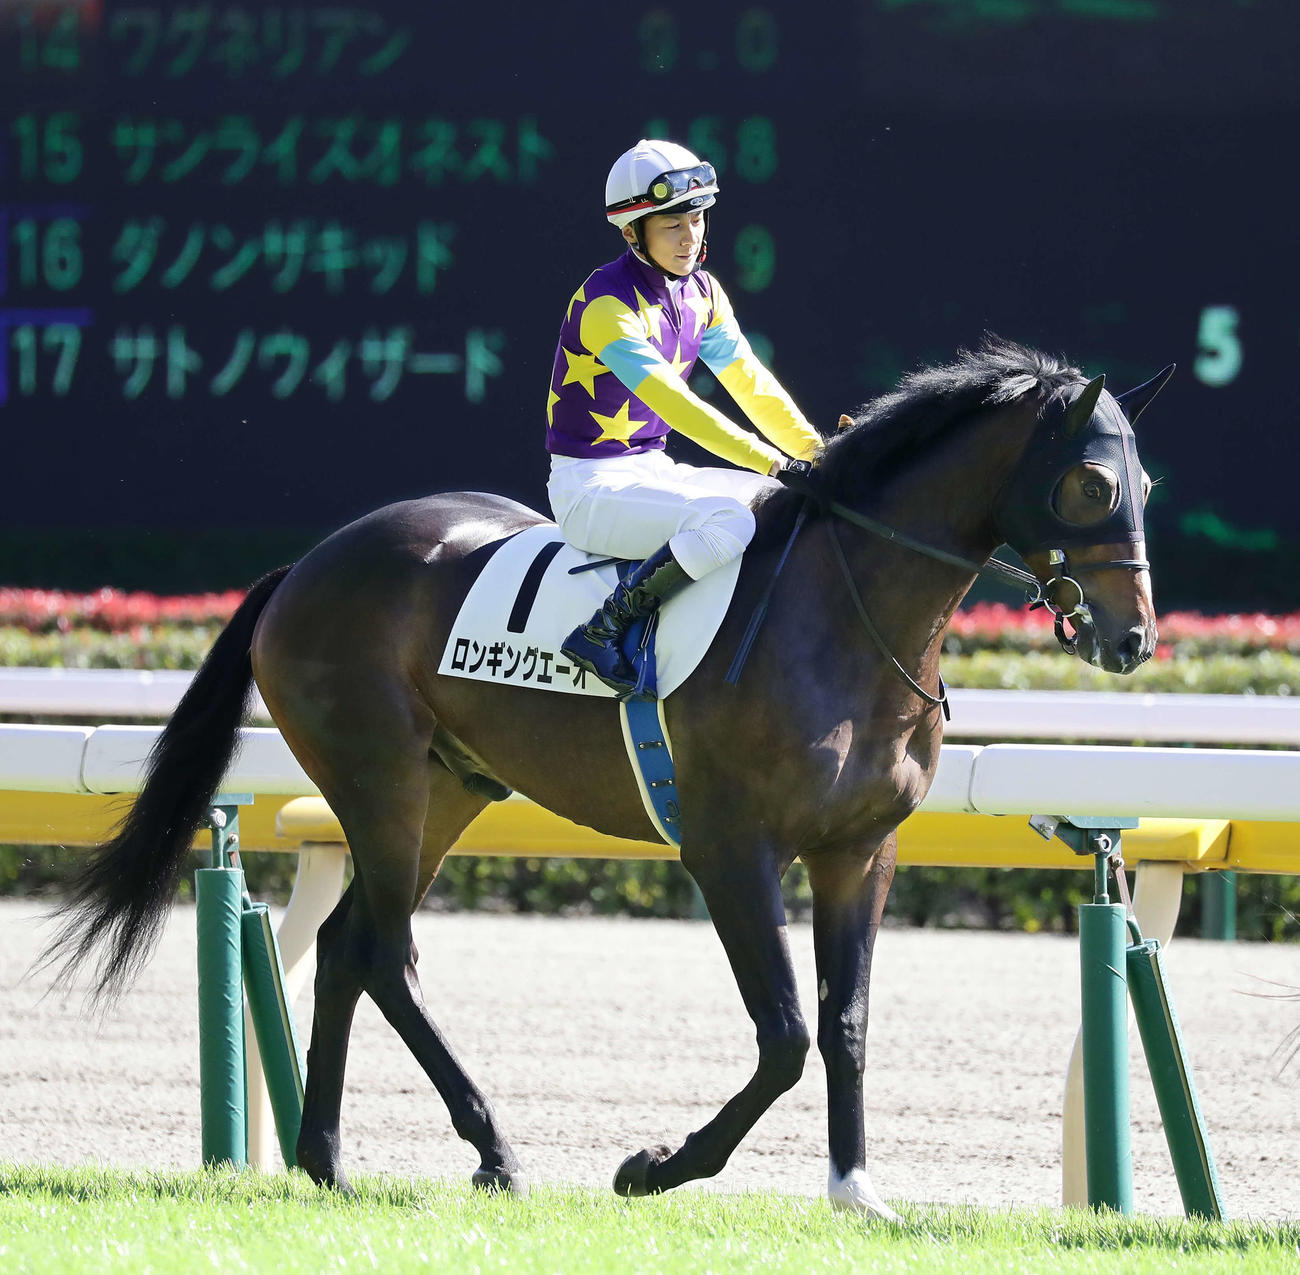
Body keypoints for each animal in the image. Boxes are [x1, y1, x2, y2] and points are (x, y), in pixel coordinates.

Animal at [43, 337, 1170, 1217]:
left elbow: (844, 1024)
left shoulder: (861, 849)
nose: (1132, 640)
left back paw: (332, 1159)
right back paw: (485, 1147)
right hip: (381, 781)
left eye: (1146, 486)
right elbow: (785, 1036)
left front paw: (854, 1189)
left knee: (352, 946)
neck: (844, 614)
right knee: (383, 950)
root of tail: (304, 568)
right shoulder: (729, 848)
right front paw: (656, 1165)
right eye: (1093, 485)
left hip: (449, 787)